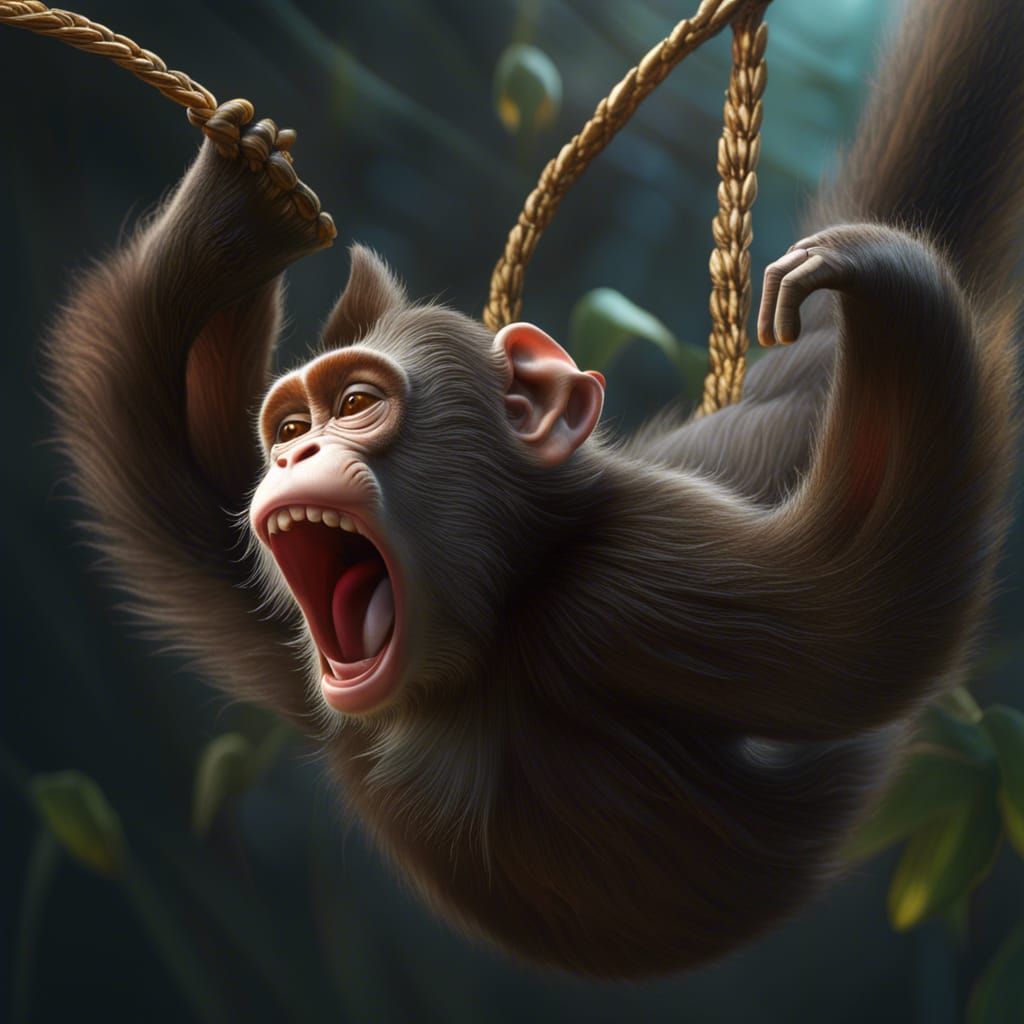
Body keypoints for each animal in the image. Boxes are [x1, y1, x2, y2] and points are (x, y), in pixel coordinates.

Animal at [42, 0, 1024, 979]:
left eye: (356, 404)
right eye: (287, 427)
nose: (292, 456)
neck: (490, 631)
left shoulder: (641, 579)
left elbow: (869, 622)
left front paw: (881, 268)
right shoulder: (277, 634)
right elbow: (156, 475)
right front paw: (237, 211)